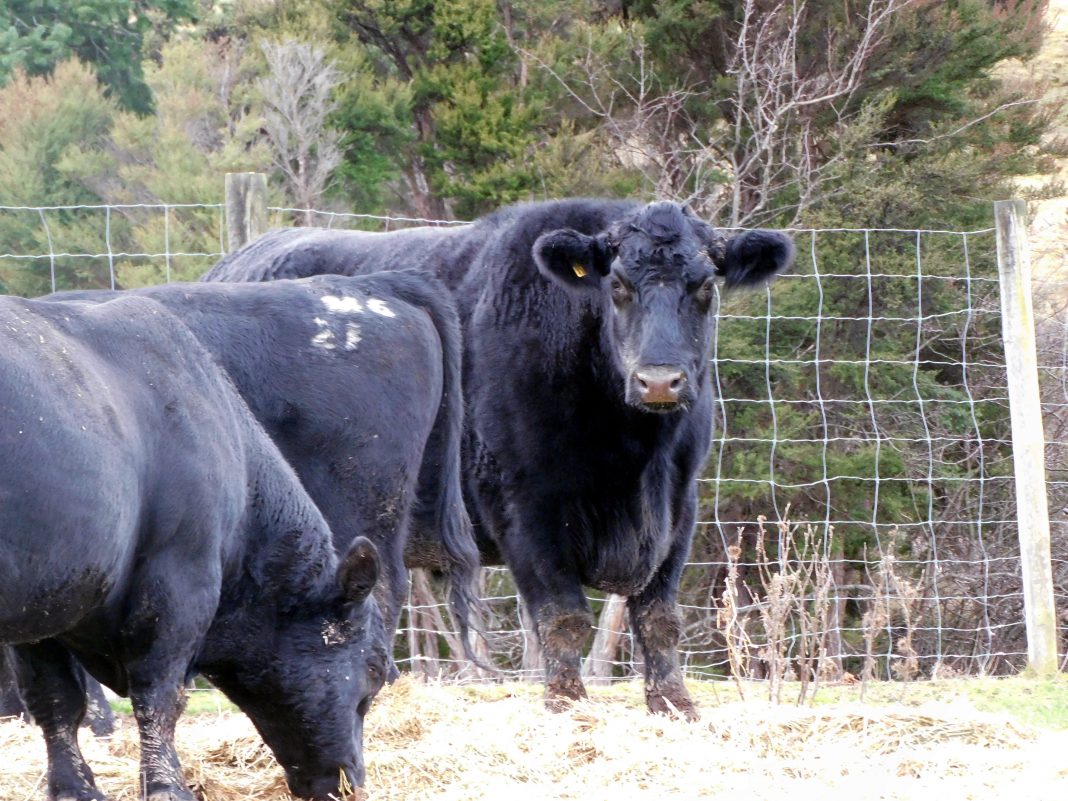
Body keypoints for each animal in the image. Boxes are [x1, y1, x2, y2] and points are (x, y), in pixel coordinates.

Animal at [0, 296, 390, 801]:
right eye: (375, 670)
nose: (352, 782)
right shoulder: (181, 580)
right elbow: (160, 695)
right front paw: (167, 786)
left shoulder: (51, 601)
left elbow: (55, 700)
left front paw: (73, 788)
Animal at [208, 197, 794, 717]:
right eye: (618, 286)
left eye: (705, 287)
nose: (658, 380)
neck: (634, 460)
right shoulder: (523, 505)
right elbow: (563, 618)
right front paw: (567, 704)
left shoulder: (680, 505)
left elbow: (658, 617)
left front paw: (674, 704)